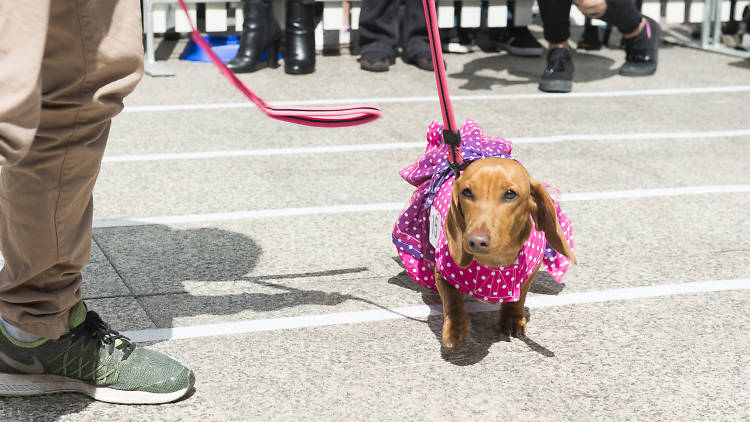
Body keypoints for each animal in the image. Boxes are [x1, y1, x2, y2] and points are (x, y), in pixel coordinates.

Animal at [438, 158, 580, 350]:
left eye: (510, 194)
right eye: (466, 192)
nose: (476, 241)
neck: (495, 259)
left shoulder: (530, 271)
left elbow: (519, 296)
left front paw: (512, 318)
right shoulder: (441, 272)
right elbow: (452, 299)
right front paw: (455, 330)